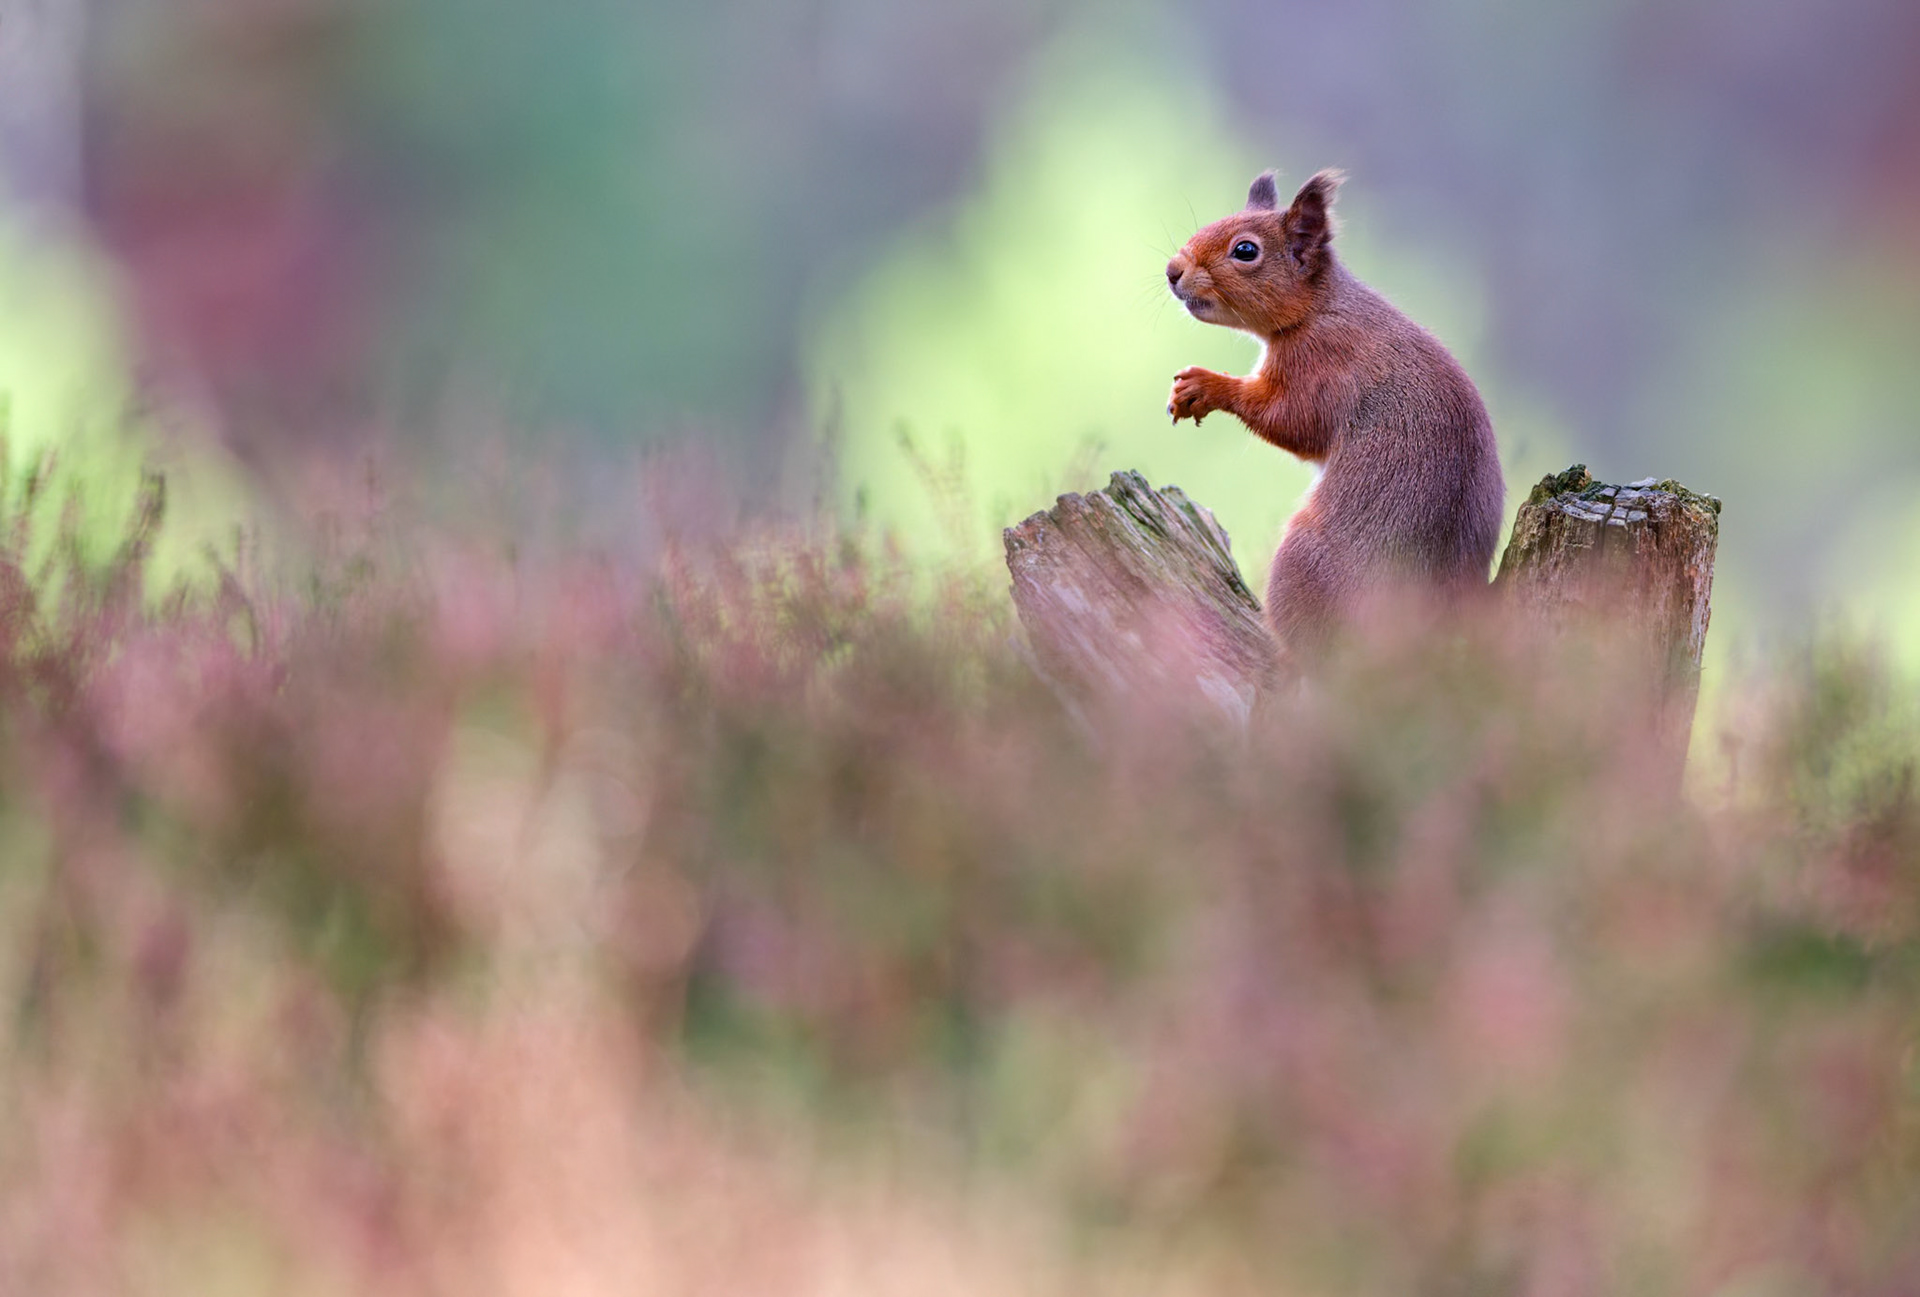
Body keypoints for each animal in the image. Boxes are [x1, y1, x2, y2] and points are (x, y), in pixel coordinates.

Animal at [1166, 170, 1504, 661]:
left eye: (1245, 250)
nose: (1172, 271)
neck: (1317, 310)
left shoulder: (1322, 367)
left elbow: (1293, 422)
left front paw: (1207, 385)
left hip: (1301, 562)